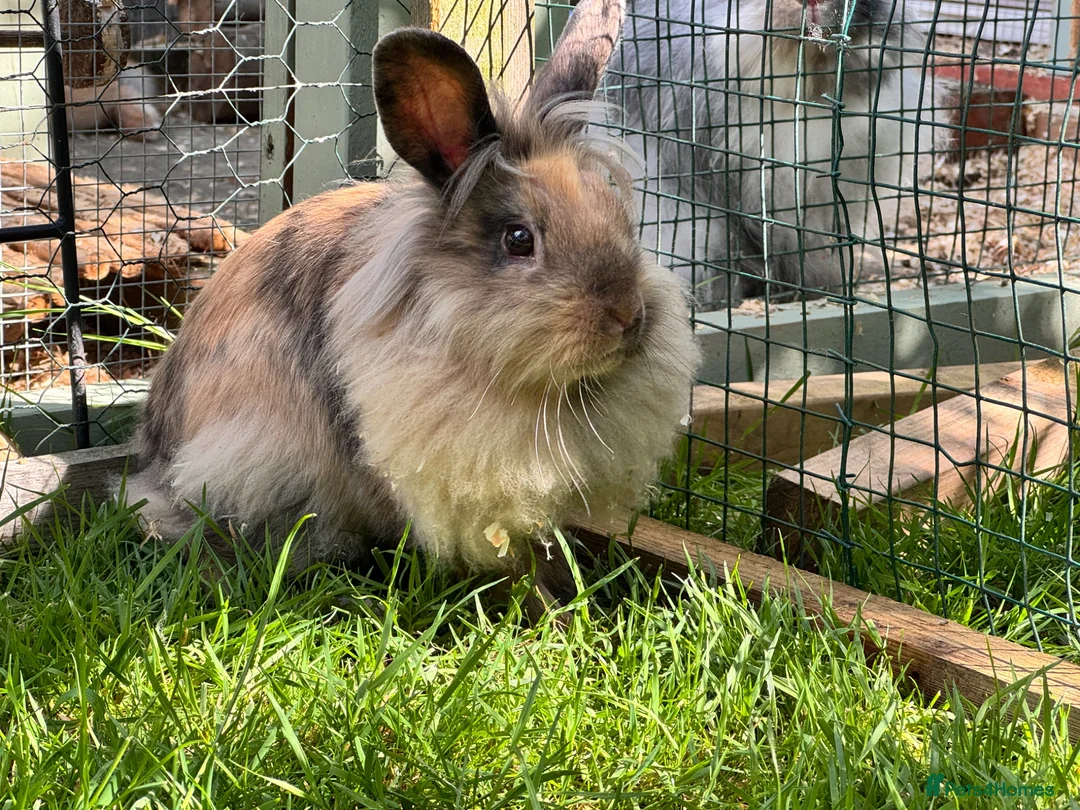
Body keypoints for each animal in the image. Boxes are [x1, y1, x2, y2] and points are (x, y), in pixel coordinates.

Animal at [122, 0, 701, 611]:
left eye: (620, 220)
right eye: (519, 239)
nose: (629, 318)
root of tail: (152, 469)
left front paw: (566, 595)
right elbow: (511, 562)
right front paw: (545, 609)